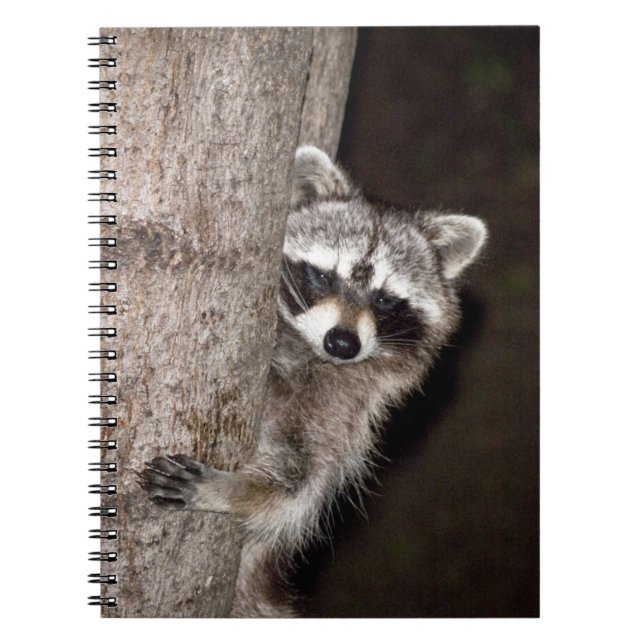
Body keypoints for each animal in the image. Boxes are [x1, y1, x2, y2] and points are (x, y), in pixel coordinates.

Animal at [138, 145, 487, 617]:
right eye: (323, 276)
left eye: (385, 300)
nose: (343, 343)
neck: (306, 351)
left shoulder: (344, 413)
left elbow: (300, 483)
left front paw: (231, 490)